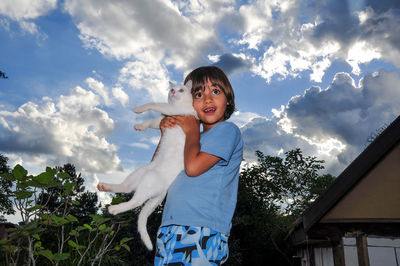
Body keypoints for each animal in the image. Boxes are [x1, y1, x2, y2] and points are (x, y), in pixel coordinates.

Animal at [97, 80, 196, 250]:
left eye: (181, 90)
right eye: (171, 89)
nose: (173, 92)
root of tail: (164, 191)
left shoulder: (172, 110)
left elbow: (154, 103)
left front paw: (138, 109)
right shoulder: (164, 118)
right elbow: (152, 121)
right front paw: (140, 126)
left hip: (148, 181)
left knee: (136, 201)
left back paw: (115, 208)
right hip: (140, 172)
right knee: (126, 188)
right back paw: (104, 187)